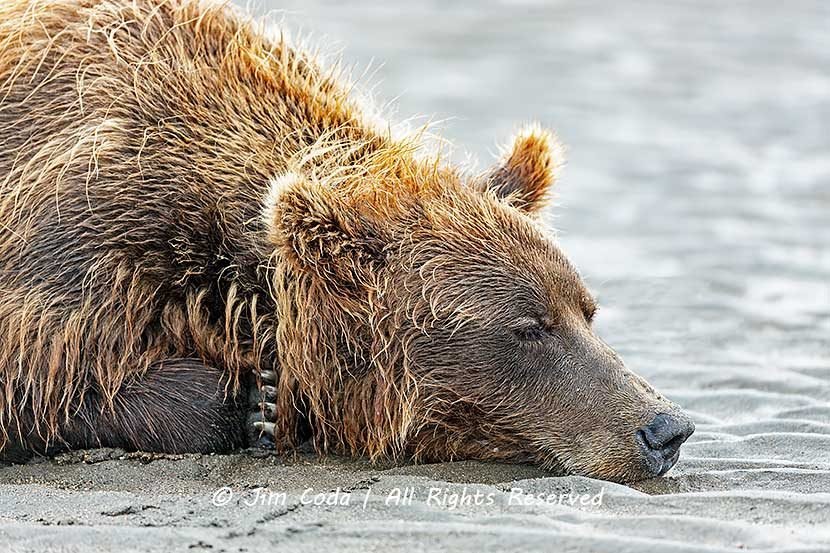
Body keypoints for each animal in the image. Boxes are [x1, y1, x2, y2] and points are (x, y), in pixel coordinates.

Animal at [0, 0, 694, 482]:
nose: (665, 428)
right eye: (528, 327)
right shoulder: (81, 230)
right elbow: (36, 378)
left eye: (587, 311)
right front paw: (252, 402)